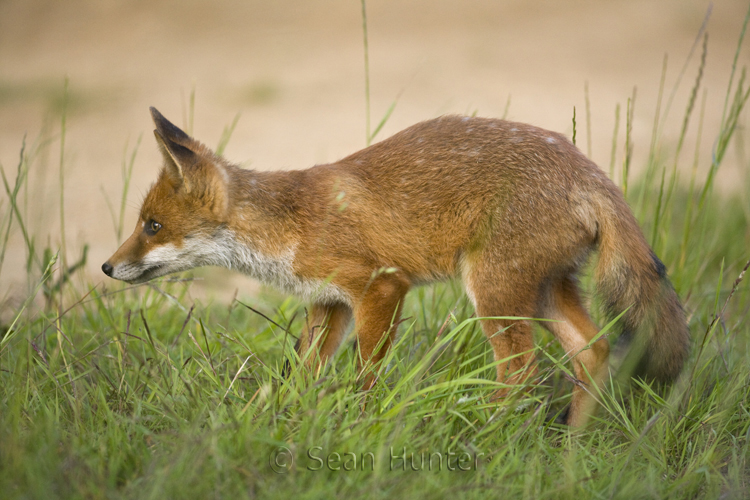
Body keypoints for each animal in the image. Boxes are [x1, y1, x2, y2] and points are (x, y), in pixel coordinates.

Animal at [103, 108, 692, 426]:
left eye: (152, 226)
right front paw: (289, 422)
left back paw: (483, 434)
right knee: (593, 352)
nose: (107, 267)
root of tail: (591, 172)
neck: (292, 223)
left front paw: (360, 426)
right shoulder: (329, 303)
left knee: (522, 374)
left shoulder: (380, 287)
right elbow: (302, 374)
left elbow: (366, 378)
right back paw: (569, 449)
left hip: (494, 294)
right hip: (545, 291)